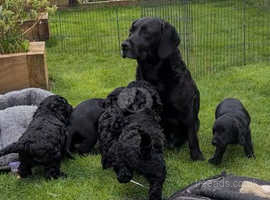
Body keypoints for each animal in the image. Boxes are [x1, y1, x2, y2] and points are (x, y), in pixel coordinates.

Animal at [121, 16, 204, 161]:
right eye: (131, 31)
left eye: (146, 32)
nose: (123, 45)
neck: (156, 77)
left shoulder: (188, 110)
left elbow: (192, 137)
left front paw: (197, 156)